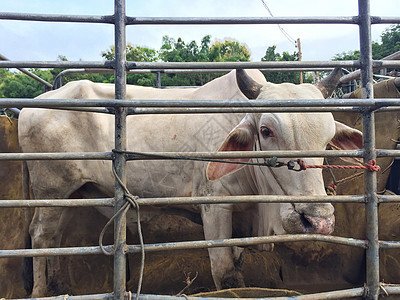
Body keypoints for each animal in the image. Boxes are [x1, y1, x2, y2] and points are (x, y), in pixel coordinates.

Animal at [19, 69, 362, 296]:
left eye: (328, 138)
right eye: (266, 131)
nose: (317, 221)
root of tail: (34, 104)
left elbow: (237, 262)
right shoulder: (215, 206)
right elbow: (226, 274)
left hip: (73, 193)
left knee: (58, 236)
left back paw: (60, 285)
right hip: (51, 187)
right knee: (41, 234)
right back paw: (40, 291)